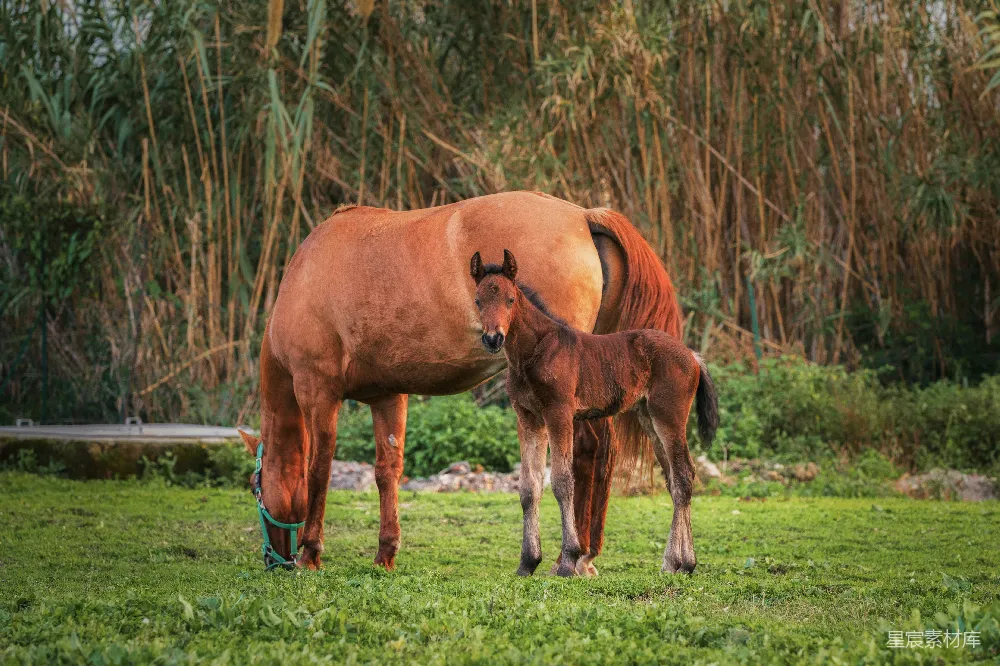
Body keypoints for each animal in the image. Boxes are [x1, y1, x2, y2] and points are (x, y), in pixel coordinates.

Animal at [241, 191, 683, 572]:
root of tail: (583, 216)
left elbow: (319, 470)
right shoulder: (388, 395)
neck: (308, 274)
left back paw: (574, 556)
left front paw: (311, 553)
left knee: (588, 452)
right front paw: (385, 553)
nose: (274, 561)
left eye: (253, 485)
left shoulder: (318, 392)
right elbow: (387, 471)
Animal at [471, 249, 718, 576]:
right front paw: (527, 562)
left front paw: (568, 561)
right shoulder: (528, 418)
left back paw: (686, 563)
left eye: (510, 299)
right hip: (649, 419)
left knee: (684, 477)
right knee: (675, 481)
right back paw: (672, 563)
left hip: (670, 417)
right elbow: (528, 487)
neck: (534, 351)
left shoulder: (559, 413)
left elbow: (562, 482)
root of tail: (692, 355)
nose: (493, 338)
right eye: (478, 300)